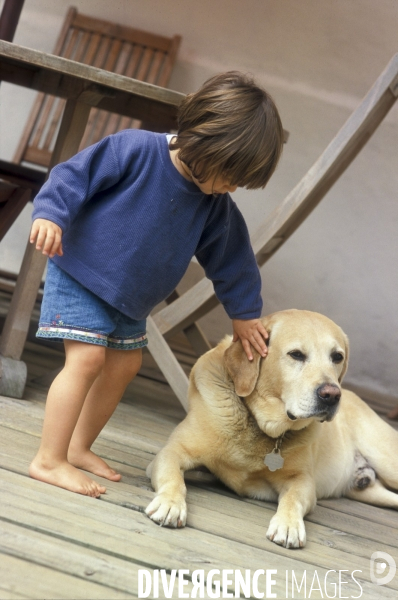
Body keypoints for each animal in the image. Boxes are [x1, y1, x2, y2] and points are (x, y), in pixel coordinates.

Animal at [145, 310, 398, 548]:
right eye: (296, 354)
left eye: (337, 357)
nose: (332, 395)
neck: (259, 425)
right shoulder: (171, 452)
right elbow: (173, 478)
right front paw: (170, 504)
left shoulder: (302, 481)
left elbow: (292, 498)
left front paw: (288, 525)